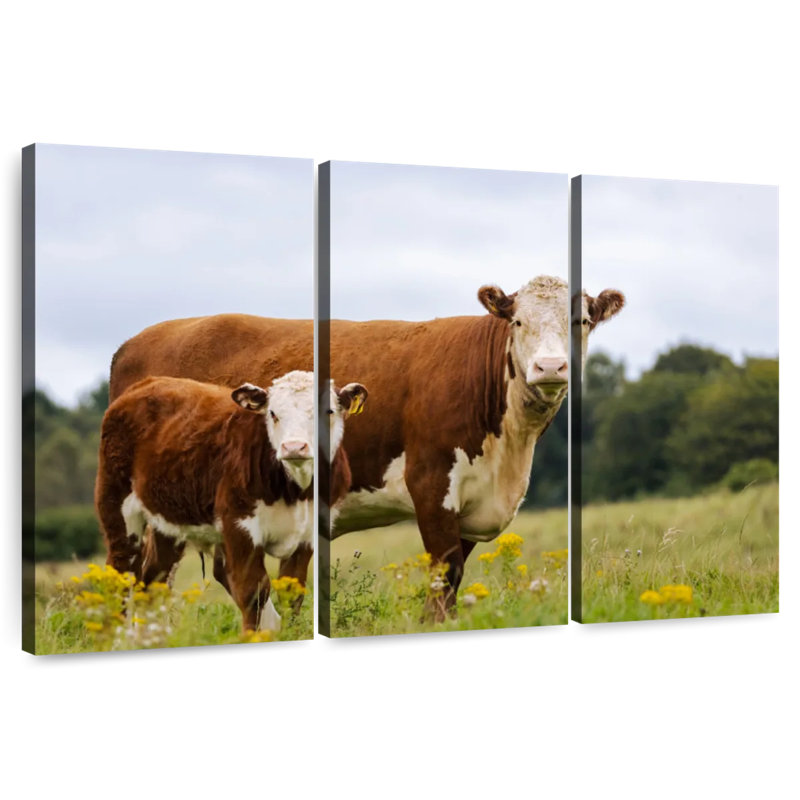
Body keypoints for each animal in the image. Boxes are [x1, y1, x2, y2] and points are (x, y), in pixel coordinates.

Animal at [95, 370, 367, 631]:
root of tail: (146, 383)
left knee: (154, 582)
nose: (294, 447)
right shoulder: (239, 526)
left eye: (328, 411)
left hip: (169, 522)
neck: (296, 490)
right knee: (120, 574)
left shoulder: (310, 532)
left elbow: (292, 594)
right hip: (117, 507)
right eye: (273, 413)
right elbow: (253, 592)